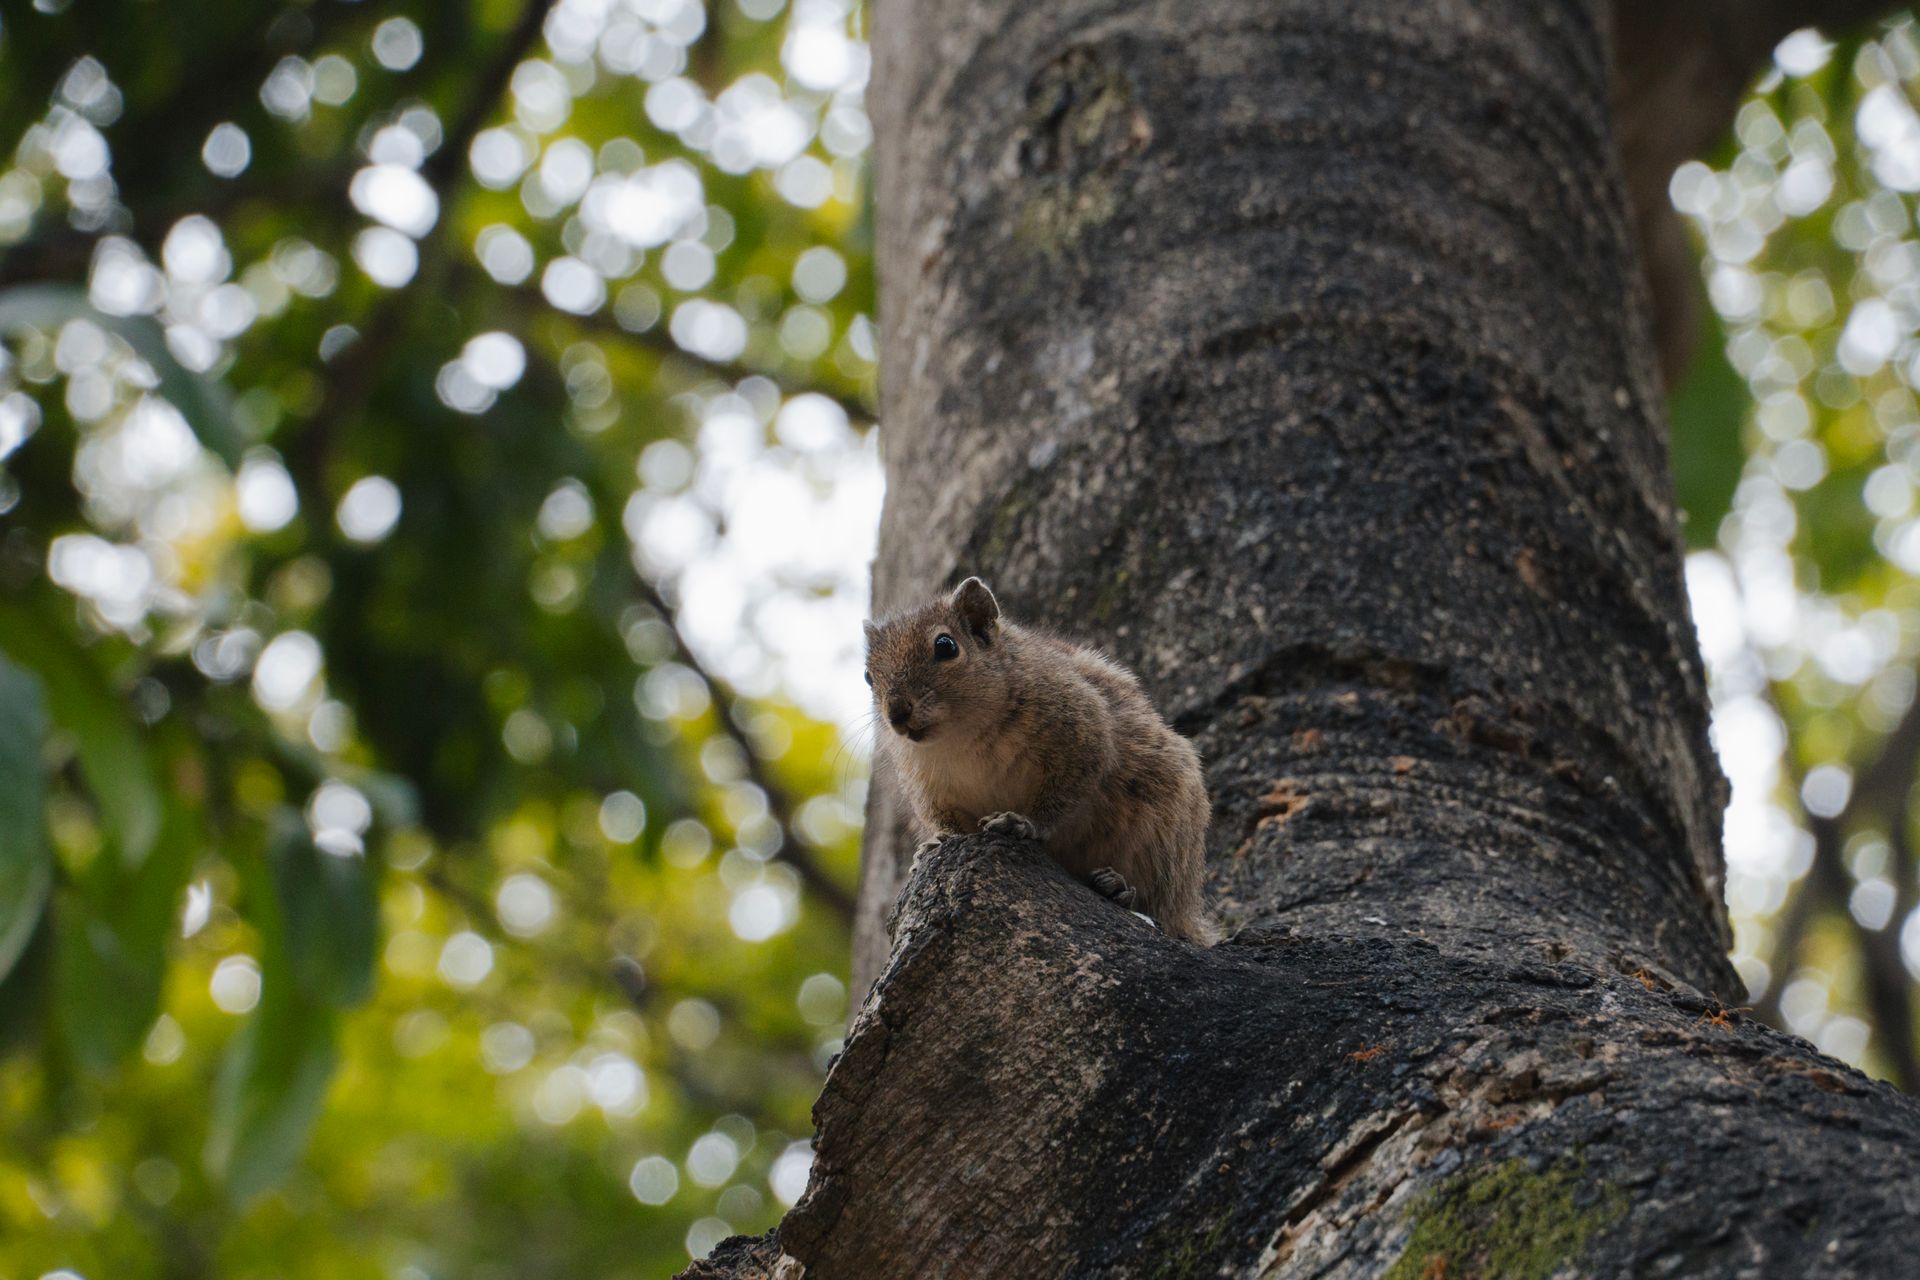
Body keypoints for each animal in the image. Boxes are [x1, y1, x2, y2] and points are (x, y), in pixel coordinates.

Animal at [864, 576, 1217, 943]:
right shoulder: (928, 787)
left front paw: (1020, 822)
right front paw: (935, 843)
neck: (960, 736)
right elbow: (943, 820)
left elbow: (1064, 795)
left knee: (1159, 903)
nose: (897, 713)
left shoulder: (1083, 734)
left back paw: (1119, 888)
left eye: (946, 646)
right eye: (868, 676)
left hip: (1163, 835)